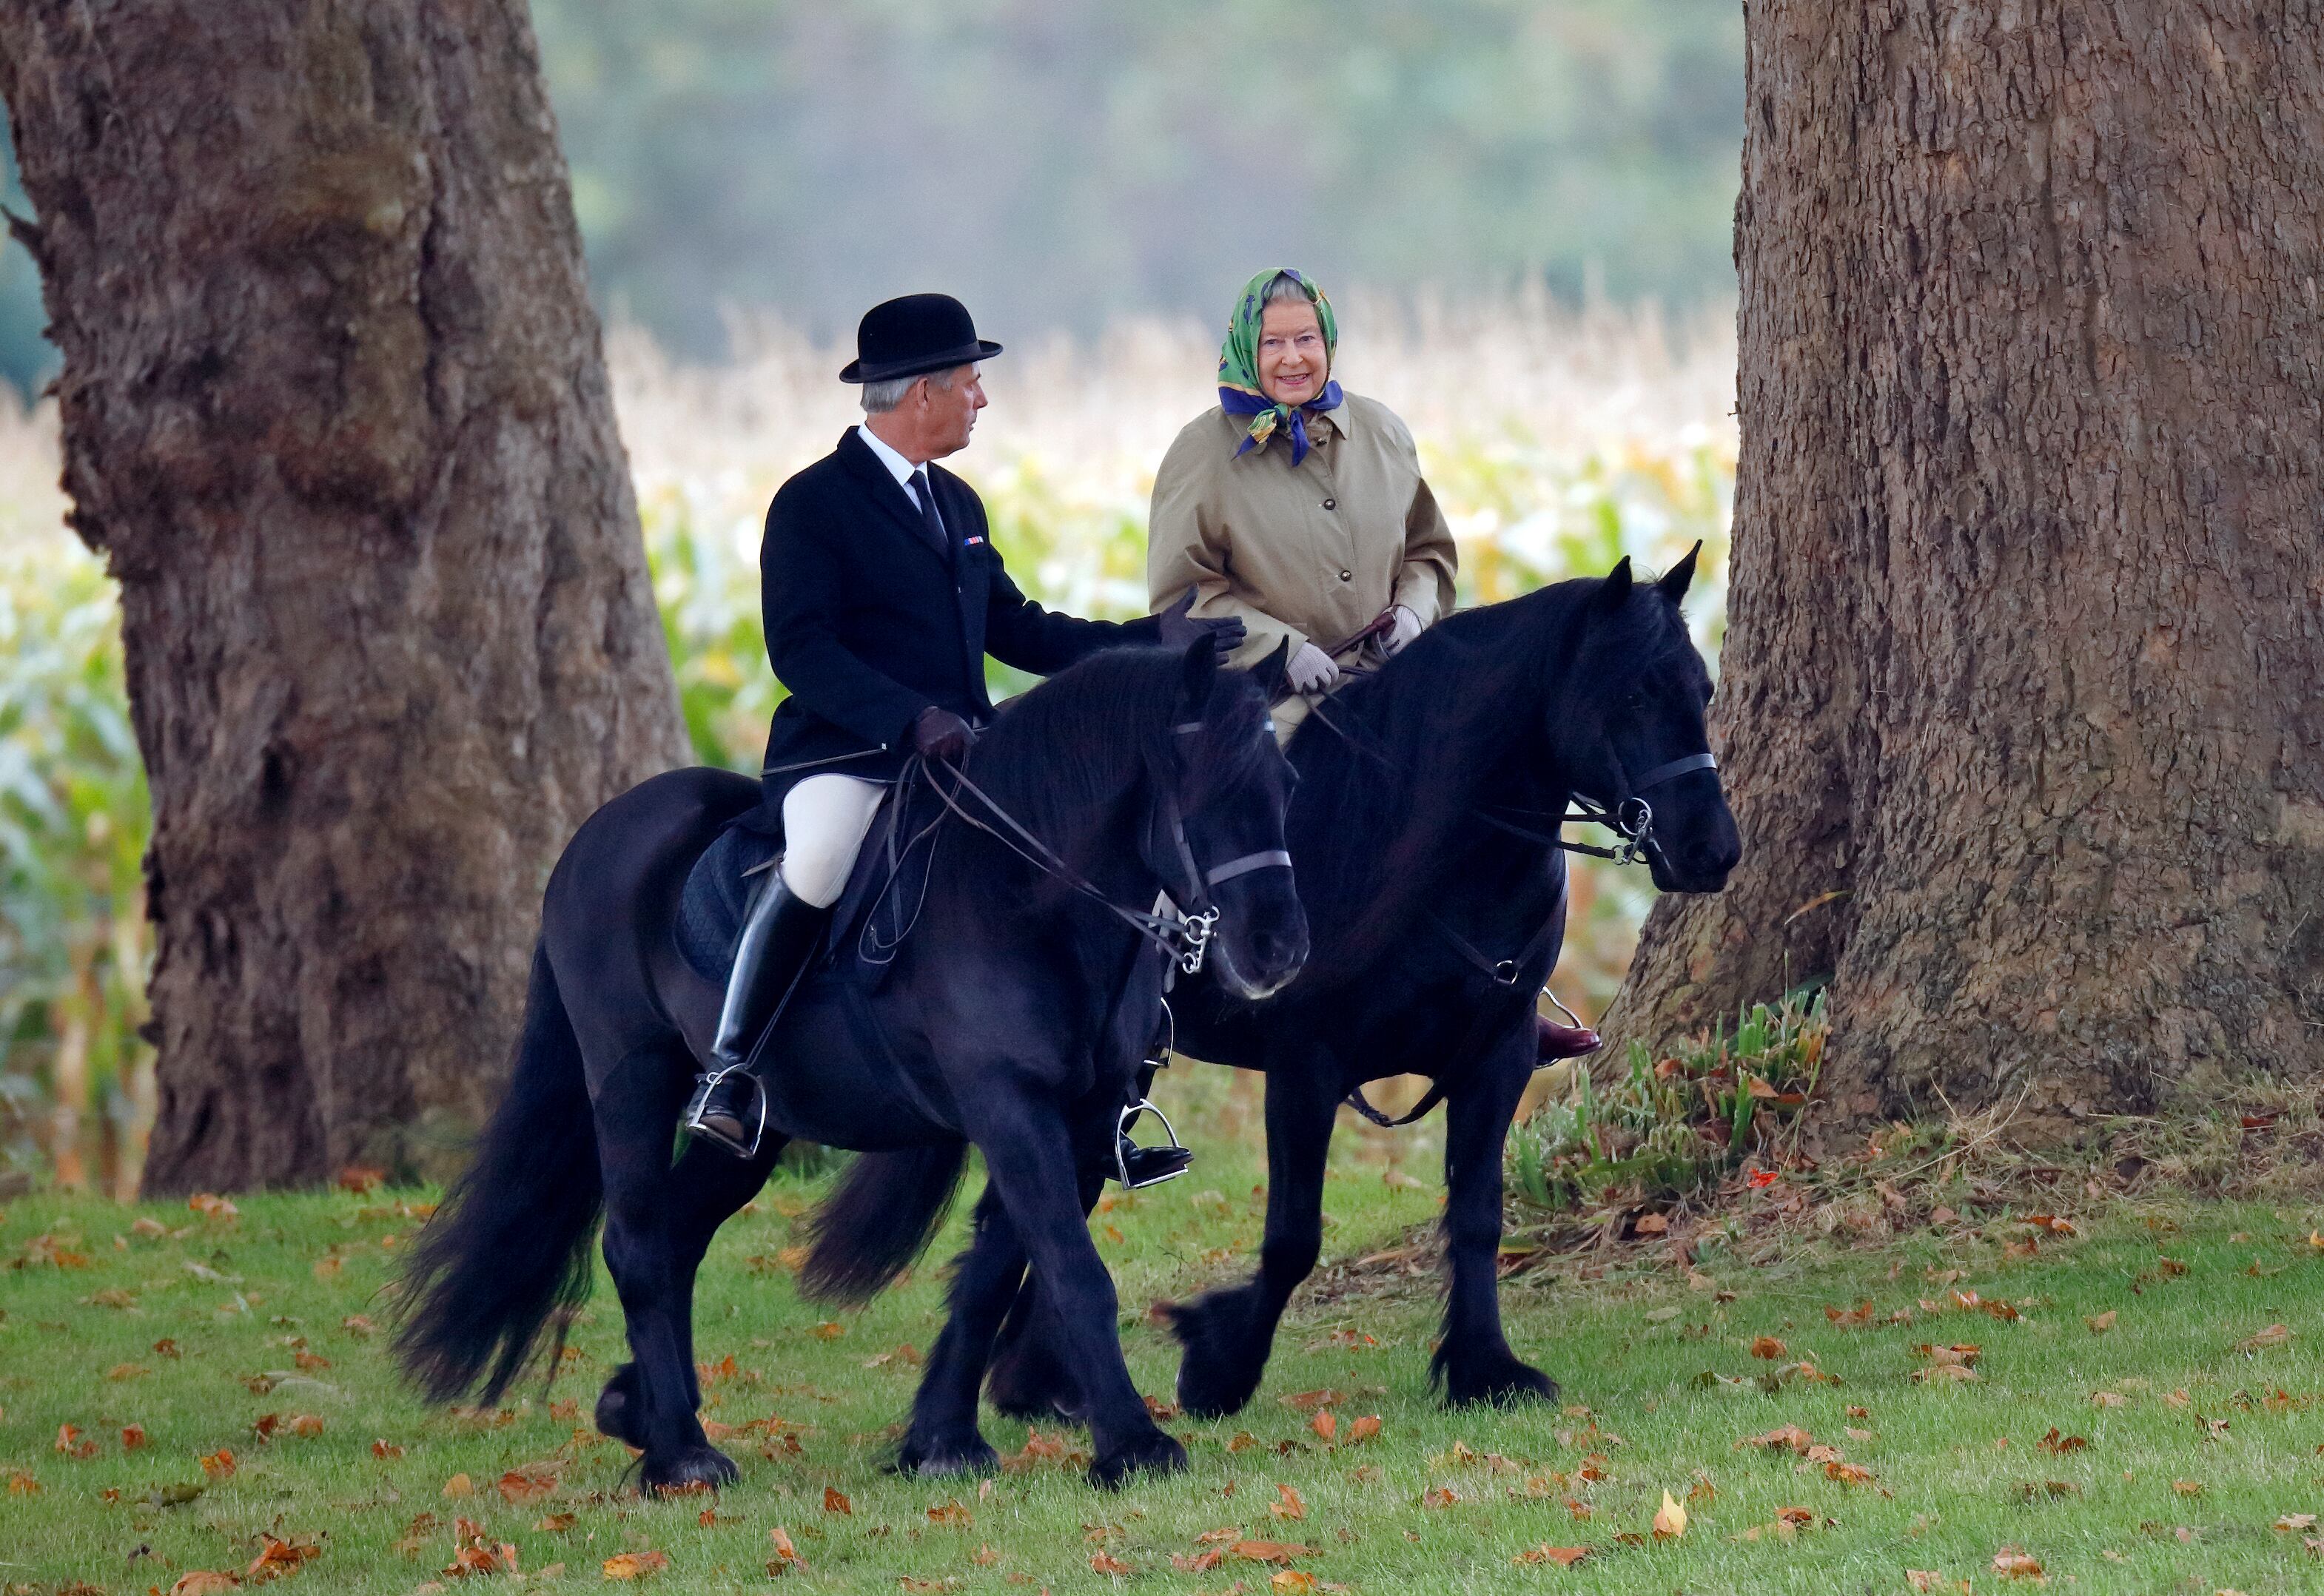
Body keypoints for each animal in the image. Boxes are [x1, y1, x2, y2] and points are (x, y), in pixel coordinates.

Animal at [394, 641, 1310, 1495]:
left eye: (1285, 785)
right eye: (1202, 789)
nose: (1279, 952)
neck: (1024, 898)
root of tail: (595, 835)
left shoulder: (1077, 1117)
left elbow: (995, 1270)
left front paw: (941, 1442)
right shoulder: (1008, 1105)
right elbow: (1072, 1270)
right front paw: (1132, 1446)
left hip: (759, 1127)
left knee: (679, 1231)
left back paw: (643, 1411)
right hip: (630, 1078)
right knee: (636, 1243)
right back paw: (683, 1456)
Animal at [938, 555, 1729, 1431]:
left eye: (1703, 687)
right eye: (1632, 695)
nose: (1712, 850)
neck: (1417, 848)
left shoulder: (1499, 1052)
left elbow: (1478, 1214)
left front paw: (1484, 1367)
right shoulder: (1305, 1066)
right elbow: (1293, 1238)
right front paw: (1218, 1365)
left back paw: (1036, 1380)